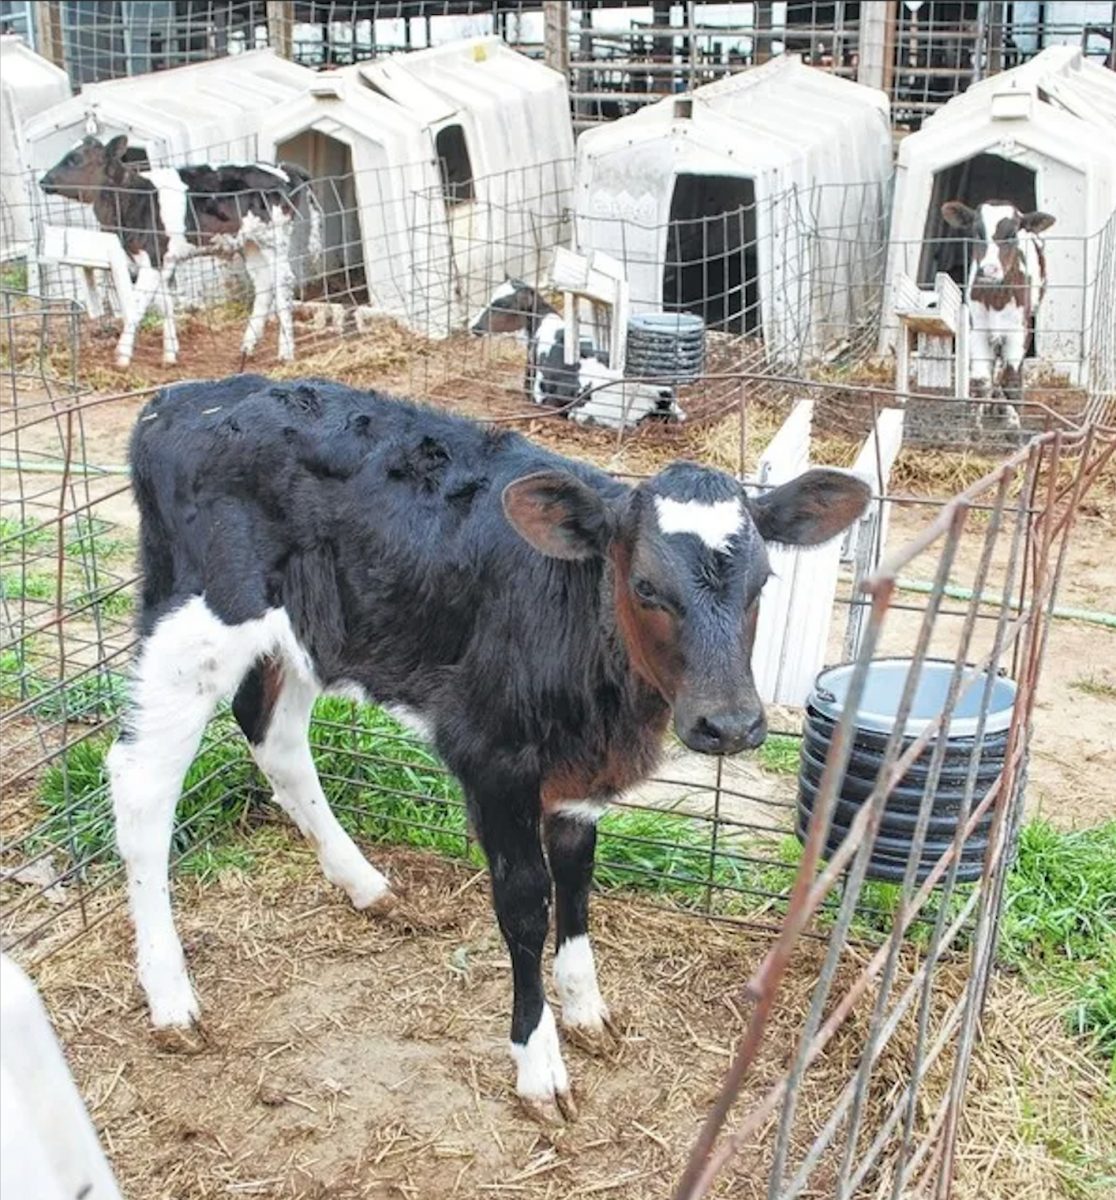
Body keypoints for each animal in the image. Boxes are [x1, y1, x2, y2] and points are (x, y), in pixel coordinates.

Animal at [39, 135, 322, 369]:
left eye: (75, 159)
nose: (43, 181)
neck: (136, 198)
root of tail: (283, 169)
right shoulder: (162, 262)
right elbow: (164, 304)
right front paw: (170, 354)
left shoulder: (152, 259)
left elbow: (136, 307)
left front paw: (121, 357)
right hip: (250, 243)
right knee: (264, 284)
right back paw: (247, 347)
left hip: (273, 239)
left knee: (283, 283)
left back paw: (286, 353)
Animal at [108, 374, 870, 1120]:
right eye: (647, 586)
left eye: (762, 584)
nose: (731, 723)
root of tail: (183, 396)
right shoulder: (493, 758)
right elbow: (527, 905)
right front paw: (539, 1064)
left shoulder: (578, 775)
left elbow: (578, 881)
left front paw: (586, 1008)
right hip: (194, 623)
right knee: (141, 783)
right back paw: (171, 998)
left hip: (309, 629)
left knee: (277, 736)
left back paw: (369, 887)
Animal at [940, 199, 1055, 429]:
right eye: (977, 232)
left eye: (1012, 233)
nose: (989, 269)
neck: (996, 298)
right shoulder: (977, 332)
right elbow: (980, 381)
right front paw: (974, 428)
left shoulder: (1020, 332)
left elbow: (1011, 381)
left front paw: (1014, 426)